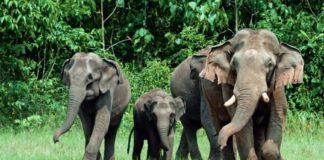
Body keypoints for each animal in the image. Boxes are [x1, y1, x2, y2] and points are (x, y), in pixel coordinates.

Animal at [200, 29, 304, 160]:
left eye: (270, 64)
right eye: (234, 63)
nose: (221, 142)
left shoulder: (278, 84)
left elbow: (278, 113)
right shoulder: (229, 82)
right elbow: (242, 125)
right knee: (220, 124)